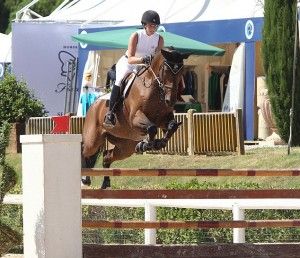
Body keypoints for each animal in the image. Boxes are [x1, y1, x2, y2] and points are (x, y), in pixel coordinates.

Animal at [82, 46, 190, 187]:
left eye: (181, 71)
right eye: (166, 70)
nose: (170, 101)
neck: (153, 88)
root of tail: (93, 105)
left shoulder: (163, 118)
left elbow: (171, 126)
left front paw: (156, 143)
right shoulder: (135, 118)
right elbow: (152, 128)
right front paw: (147, 144)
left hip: (125, 146)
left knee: (106, 156)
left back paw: (105, 182)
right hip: (93, 140)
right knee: (85, 151)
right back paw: (85, 178)